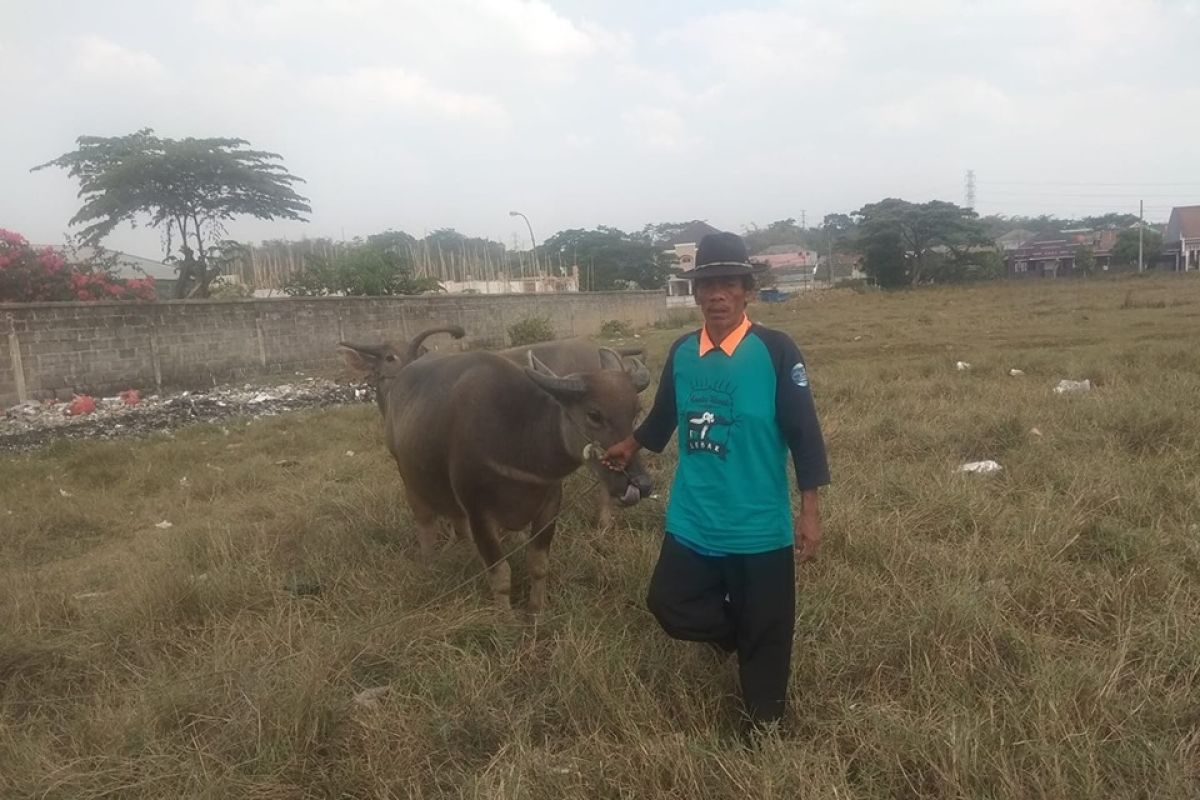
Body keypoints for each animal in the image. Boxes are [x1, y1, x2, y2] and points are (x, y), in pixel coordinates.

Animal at [338, 326, 652, 614]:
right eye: (594, 415)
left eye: (635, 412)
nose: (640, 484)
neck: (519, 437)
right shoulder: (479, 511)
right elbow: (500, 575)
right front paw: (506, 621)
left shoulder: (549, 504)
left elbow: (539, 565)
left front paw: (536, 611)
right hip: (409, 478)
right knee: (425, 525)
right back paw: (431, 565)